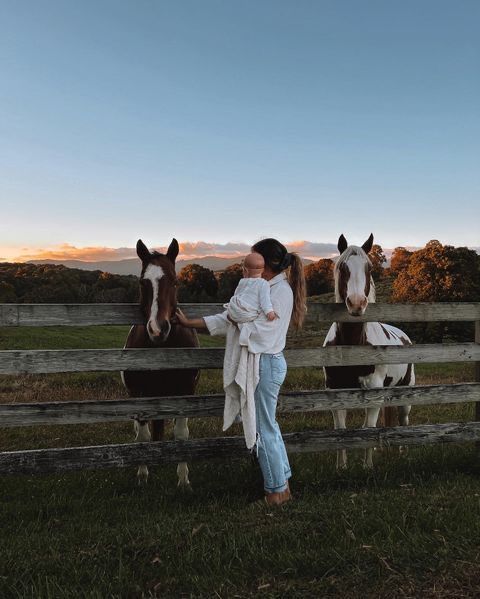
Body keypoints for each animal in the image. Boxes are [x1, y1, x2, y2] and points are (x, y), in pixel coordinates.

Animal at [124, 239, 201, 488]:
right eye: (142, 282)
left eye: (175, 282)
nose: (158, 329)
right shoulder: (139, 394)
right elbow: (142, 436)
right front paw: (142, 476)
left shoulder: (185, 391)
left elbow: (181, 434)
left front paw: (183, 480)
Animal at [324, 234, 414, 468]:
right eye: (343, 267)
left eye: (370, 268)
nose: (357, 303)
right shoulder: (334, 392)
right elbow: (340, 430)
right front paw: (341, 467)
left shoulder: (373, 391)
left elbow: (368, 429)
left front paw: (367, 467)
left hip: (405, 392)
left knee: (403, 420)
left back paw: (403, 451)